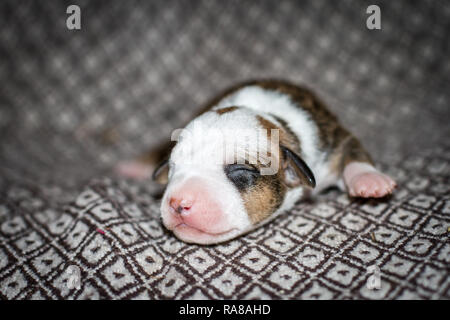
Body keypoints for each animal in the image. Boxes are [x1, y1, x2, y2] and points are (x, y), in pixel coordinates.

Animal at [117, 80, 398, 245]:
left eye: (240, 170)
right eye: (174, 169)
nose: (178, 203)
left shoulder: (331, 142)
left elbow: (352, 149)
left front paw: (370, 180)